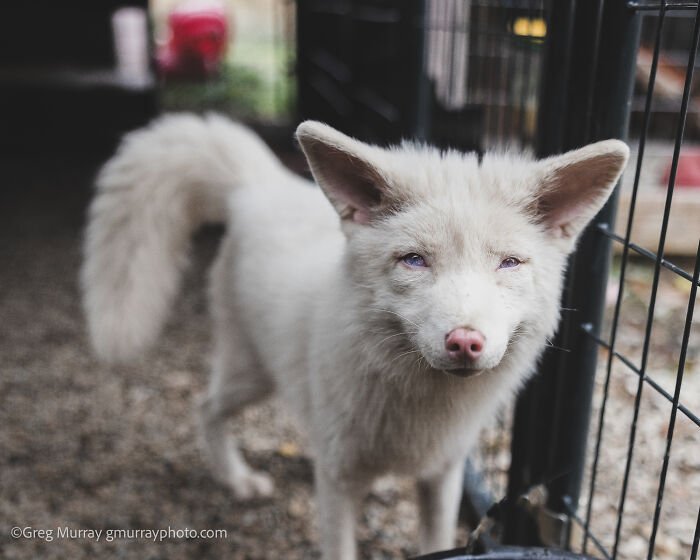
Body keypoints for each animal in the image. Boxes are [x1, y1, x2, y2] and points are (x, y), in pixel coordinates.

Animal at [81, 113, 628, 559]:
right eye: (414, 260)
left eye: (509, 263)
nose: (465, 342)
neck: (420, 412)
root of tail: (262, 188)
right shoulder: (337, 480)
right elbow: (340, 547)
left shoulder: (443, 475)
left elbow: (435, 542)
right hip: (250, 377)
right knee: (205, 408)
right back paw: (237, 480)